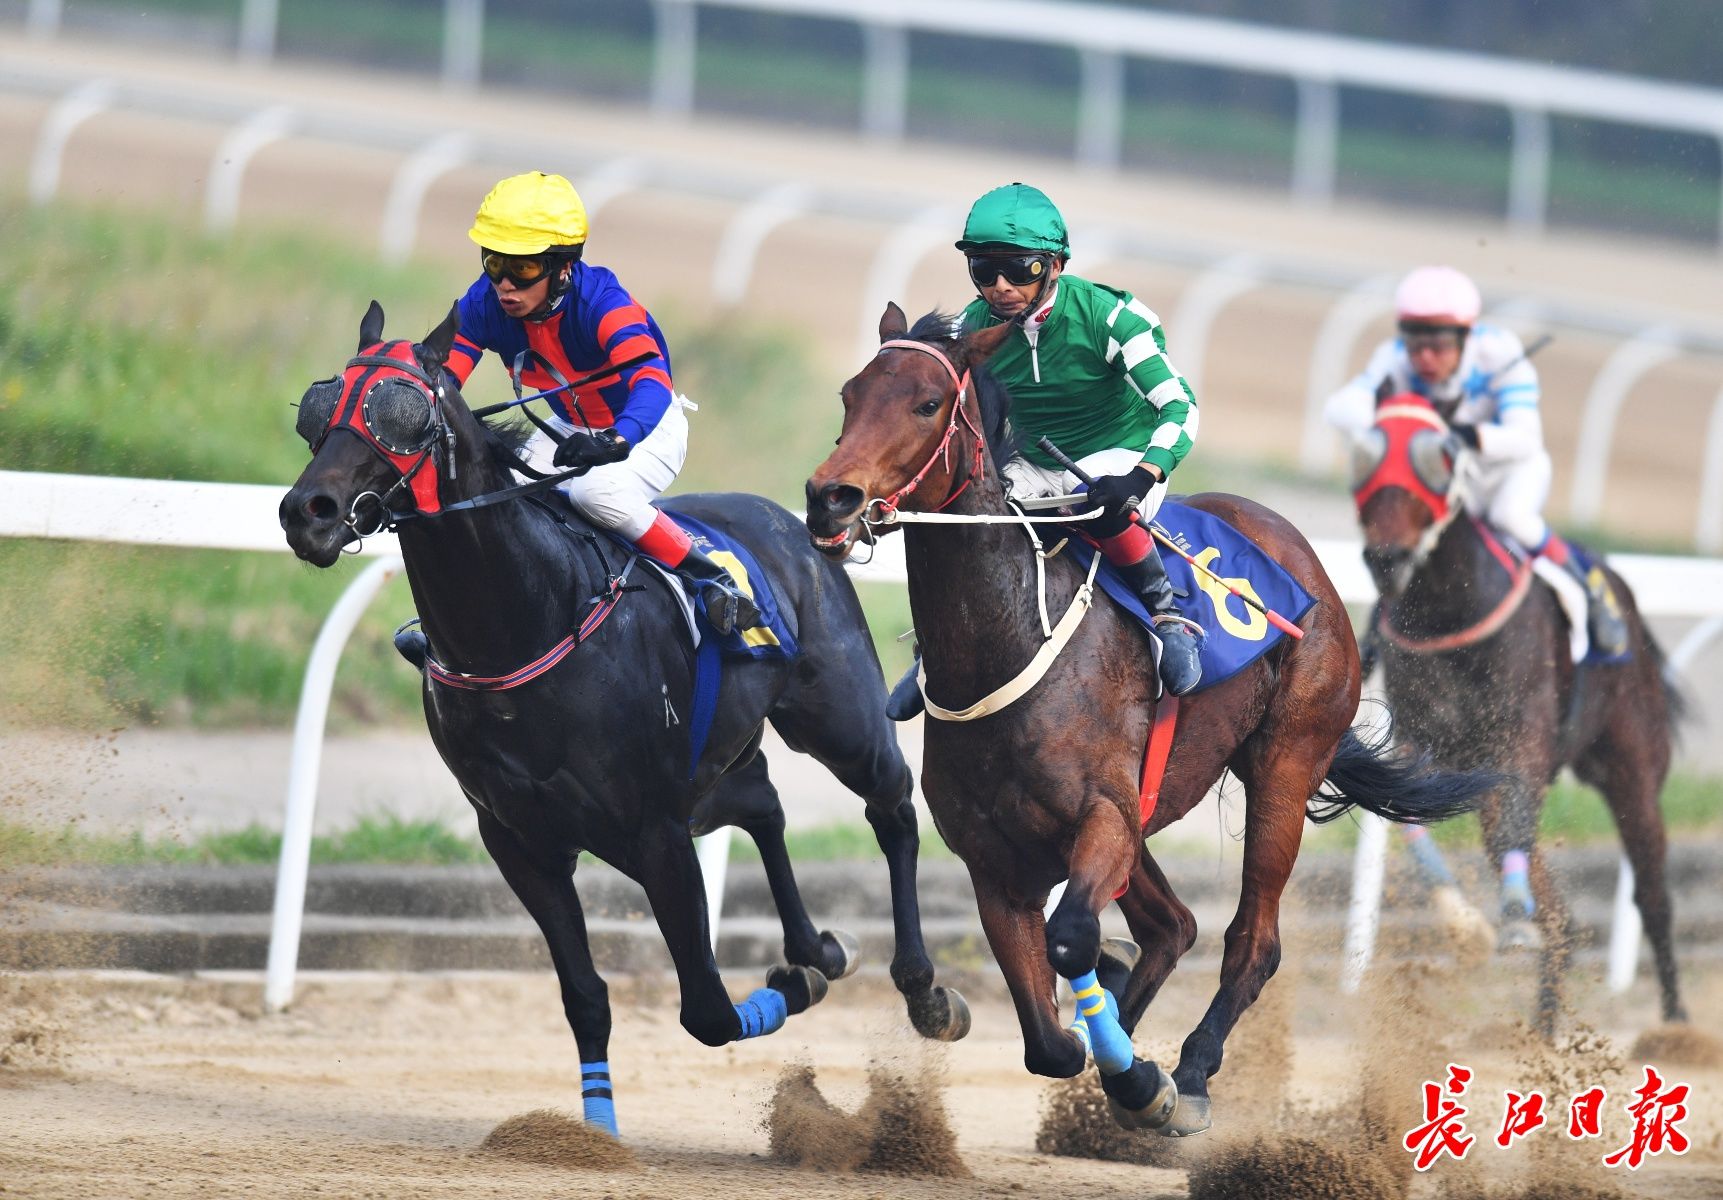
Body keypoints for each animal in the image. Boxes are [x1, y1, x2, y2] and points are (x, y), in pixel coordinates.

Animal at [282, 305, 971, 1137]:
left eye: (400, 412)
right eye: (317, 411)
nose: (306, 512)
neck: (528, 616)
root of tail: (793, 521)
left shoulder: (656, 832)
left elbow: (706, 1010)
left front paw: (792, 987)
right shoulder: (520, 838)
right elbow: (584, 995)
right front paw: (596, 1128)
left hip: (841, 724)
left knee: (891, 807)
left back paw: (920, 988)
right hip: (716, 771)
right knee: (766, 804)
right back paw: (819, 948)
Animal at [802, 305, 1495, 1137]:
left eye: (925, 403)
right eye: (848, 393)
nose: (829, 498)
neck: (1009, 643)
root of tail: (1298, 555)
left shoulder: (1104, 815)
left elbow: (1072, 941)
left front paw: (1140, 1077)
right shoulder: (995, 860)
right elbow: (1048, 1042)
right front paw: (1097, 1046)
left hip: (1285, 766)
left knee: (1249, 939)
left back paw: (1189, 1071)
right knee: (1173, 926)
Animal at [1343, 391, 1681, 1034]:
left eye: (1440, 457)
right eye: (1365, 455)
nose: (1385, 557)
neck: (1451, 609)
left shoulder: (1521, 738)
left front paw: (1506, 922)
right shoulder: (1423, 744)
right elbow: (1406, 813)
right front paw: (1466, 926)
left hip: (1632, 766)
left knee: (1651, 891)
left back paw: (1677, 1022)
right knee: (1551, 899)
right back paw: (1544, 1018)